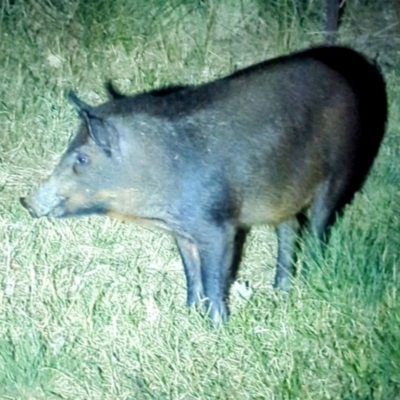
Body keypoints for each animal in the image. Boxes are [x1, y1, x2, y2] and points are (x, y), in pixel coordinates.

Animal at [20, 45, 386, 324]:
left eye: (81, 159)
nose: (26, 201)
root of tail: (344, 77)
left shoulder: (218, 225)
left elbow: (214, 277)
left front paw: (217, 328)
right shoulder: (182, 231)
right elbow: (190, 271)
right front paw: (188, 314)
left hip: (340, 170)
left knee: (318, 227)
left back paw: (308, 280)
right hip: (283, 194)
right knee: (290, 228)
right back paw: (280, 291)